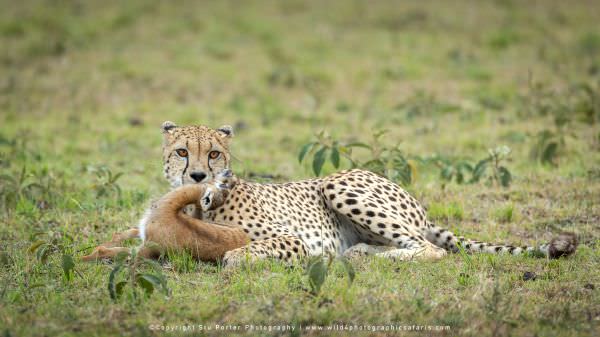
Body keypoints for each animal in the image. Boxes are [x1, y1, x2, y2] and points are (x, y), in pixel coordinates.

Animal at [83, 121, 576, 266]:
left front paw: (235, 258)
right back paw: (361, 252)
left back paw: (366, 256)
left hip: (339, 183)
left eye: (215, 152)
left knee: (430, 250)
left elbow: (246, 250)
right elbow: (124, 241)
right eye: (183, 152)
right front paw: (92, 251)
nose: (199, 175)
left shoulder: (293, 240)